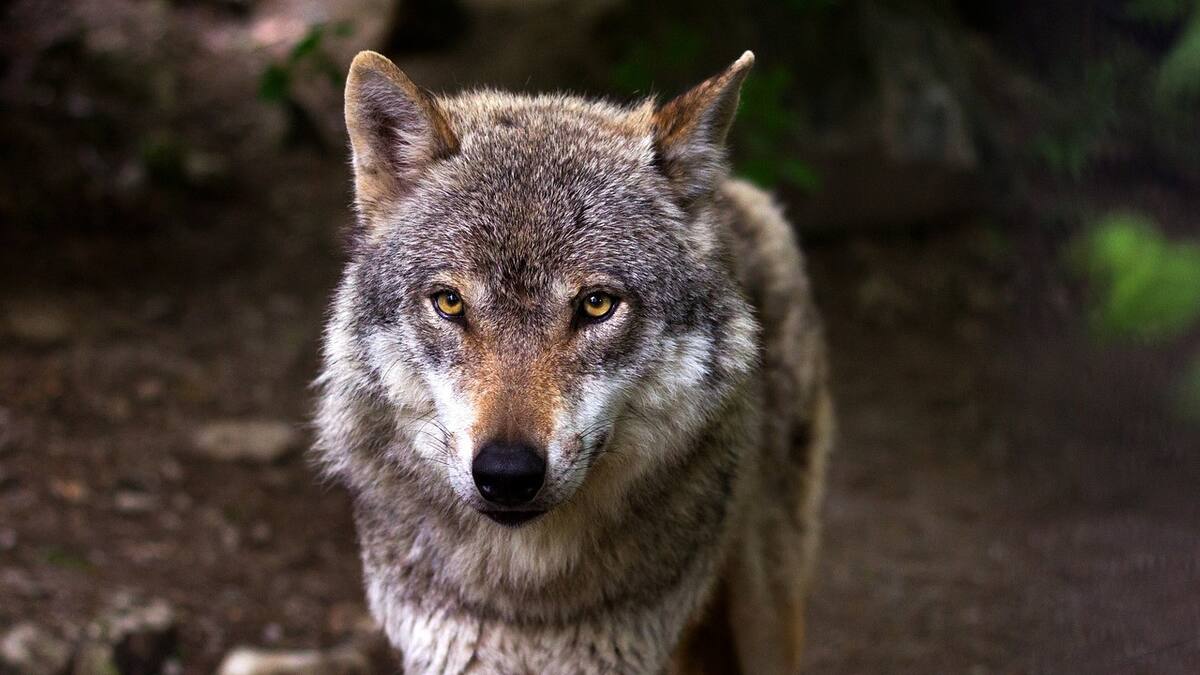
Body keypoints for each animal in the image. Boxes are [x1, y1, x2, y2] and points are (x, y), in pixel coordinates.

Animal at [314, 49, 833, 674]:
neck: (529, 602)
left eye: (596, 304)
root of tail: (732, 191)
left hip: (766, 608)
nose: (506, 474)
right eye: (450, 303)